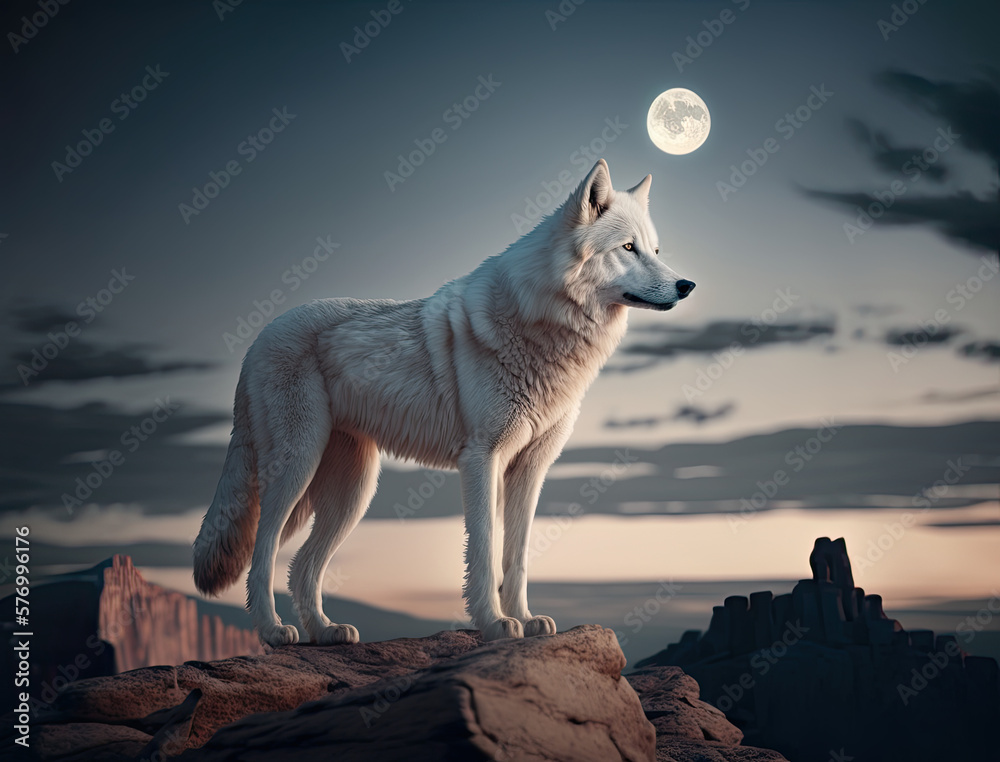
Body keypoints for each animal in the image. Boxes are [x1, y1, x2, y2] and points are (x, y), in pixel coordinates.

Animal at [193, 159, 695, 646]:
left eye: (655, 251)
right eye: (628, 248)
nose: (686, 285)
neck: (545, 322)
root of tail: (259, 338)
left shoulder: (530, 469)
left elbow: (517, 556)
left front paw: (525, 619)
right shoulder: (482, 458)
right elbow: (486, 548)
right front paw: (494, 624)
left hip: (353, 492)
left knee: (302, 566)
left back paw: (326, 631)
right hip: (298, 467)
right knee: (262, 553)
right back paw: (275, 631)